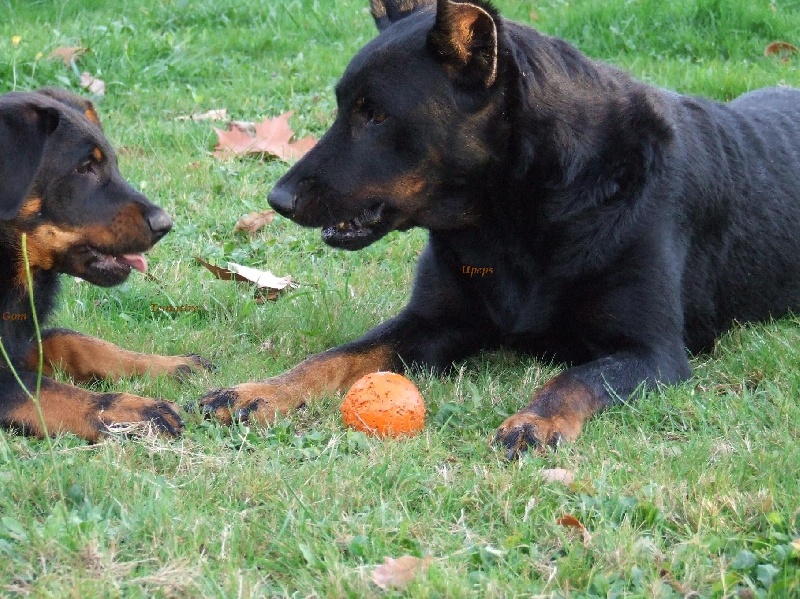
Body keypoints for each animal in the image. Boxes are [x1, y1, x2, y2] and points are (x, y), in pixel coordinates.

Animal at [1, 90, 208, 446]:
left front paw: (170, 365)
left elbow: (75, 340)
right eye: (84, 167)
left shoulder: (21, 341)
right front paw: (130, 409)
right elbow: (42, 390)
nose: (164, 225)